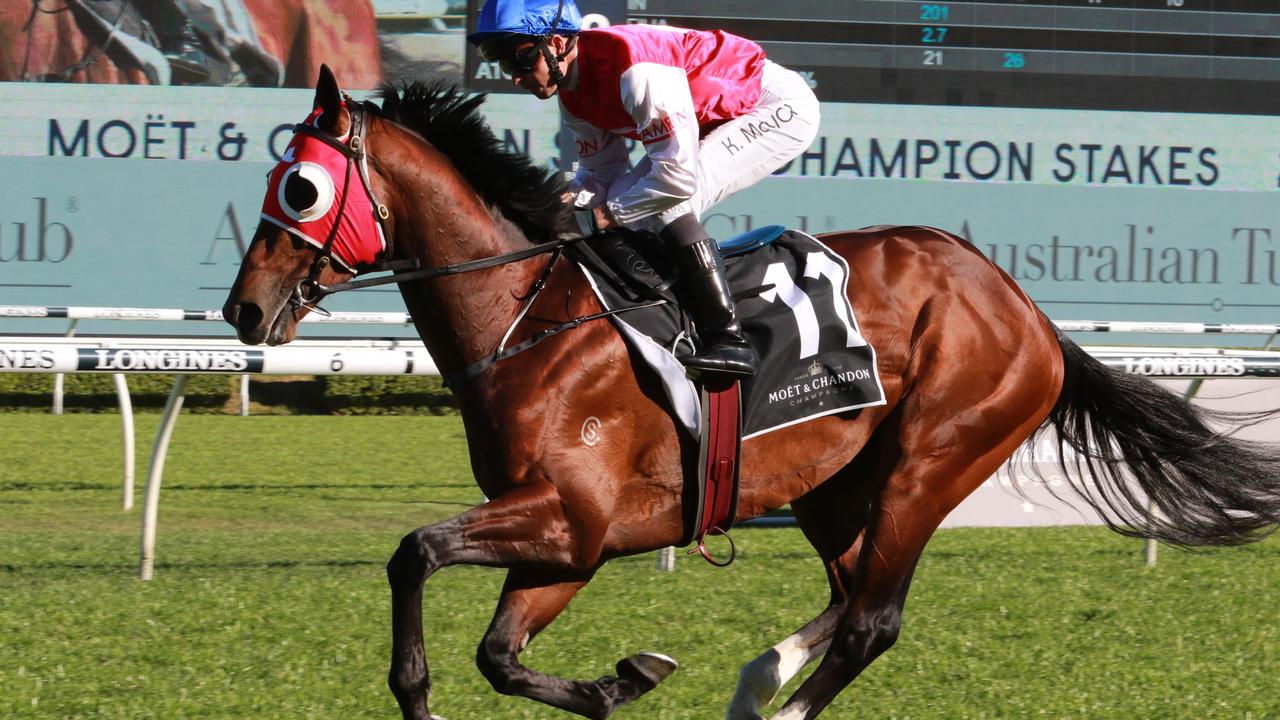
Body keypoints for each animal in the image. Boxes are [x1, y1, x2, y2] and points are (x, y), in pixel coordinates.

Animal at [225, 67, 1280, 717]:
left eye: (302, 189)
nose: (244, 309)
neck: (527, 316)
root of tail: (1022, 305)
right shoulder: (573, 540)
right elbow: (499, 651)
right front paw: (622, 680)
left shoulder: (571, 517)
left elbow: (417, 552)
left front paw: (430, 687)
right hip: (833, 484)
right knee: (849, 590)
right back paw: (757, 676)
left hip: (933, 460)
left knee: (872, 619)